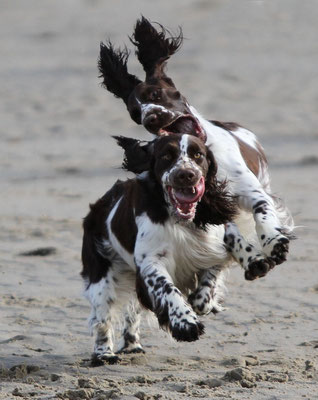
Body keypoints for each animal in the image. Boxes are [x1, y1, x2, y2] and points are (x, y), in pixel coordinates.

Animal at [80, 133, 237, 364]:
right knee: (102, 317)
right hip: (101, 274)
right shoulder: (150, 262)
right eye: (166, 156)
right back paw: (104, 354)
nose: (186, 175)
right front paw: (185, 323)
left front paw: (202, 302)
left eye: (198, 155)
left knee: (133, 311)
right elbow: (166, 288)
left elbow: (209, 283)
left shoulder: (211, 250)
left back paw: (132, 345)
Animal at [98, 16, 294, 282]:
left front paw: (274, 242)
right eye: (135, 114)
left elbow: (263, 212)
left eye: (155, 94)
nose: (150, 118)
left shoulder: (249, 191)